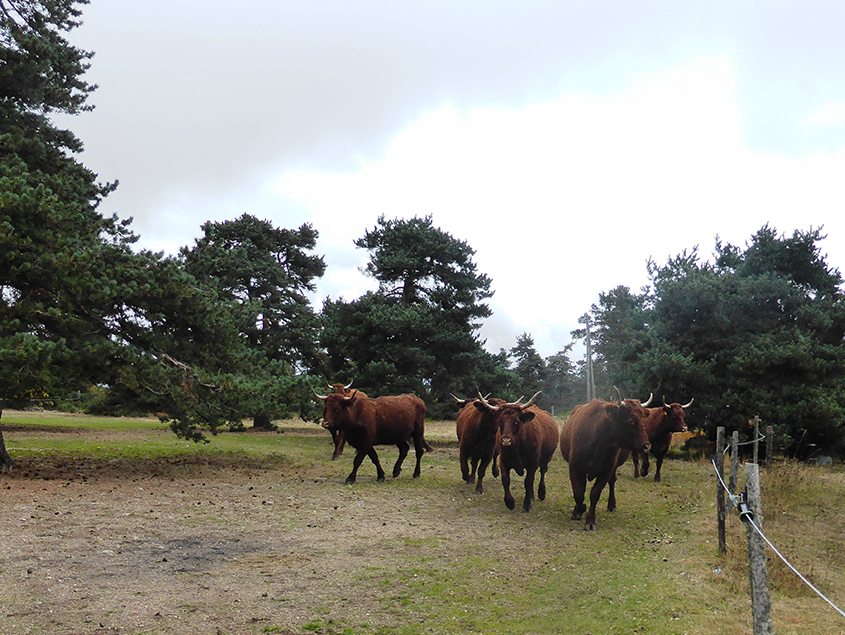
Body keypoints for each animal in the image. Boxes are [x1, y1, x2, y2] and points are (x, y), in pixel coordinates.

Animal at [560, 396, 652, 528]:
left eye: (643, 418)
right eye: (630, 420)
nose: (646, 446)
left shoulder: (606, 471)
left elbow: (595, 494)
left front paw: (590, 521)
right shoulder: (575, 468)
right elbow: (578, 492)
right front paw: (578, 511)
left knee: (612, 482)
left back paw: (611, 505)